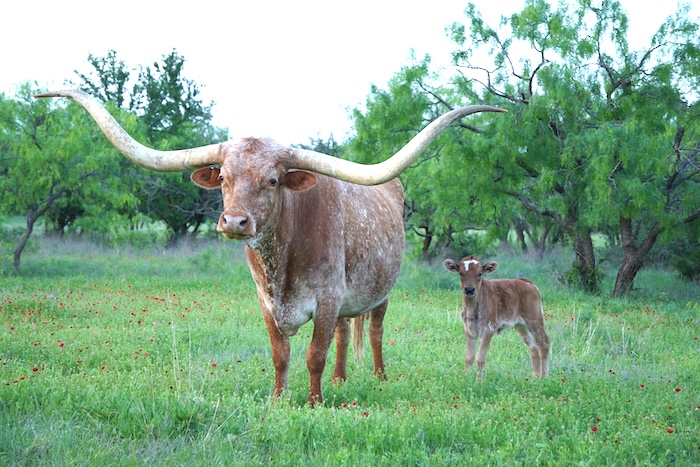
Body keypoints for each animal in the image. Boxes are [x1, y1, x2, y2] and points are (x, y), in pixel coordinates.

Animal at [34, 90, 505, 405]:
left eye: (274, 180)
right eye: (224, 177)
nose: (234, 222)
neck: (282, 261)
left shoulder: (327, 297)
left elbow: (313, 354)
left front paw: (314, 403)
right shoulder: (266, 300)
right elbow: (282, 354)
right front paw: (280, 399)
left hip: (381, 294)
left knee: (372, 332)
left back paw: (378, 376)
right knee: (344, 334)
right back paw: (340, 380)